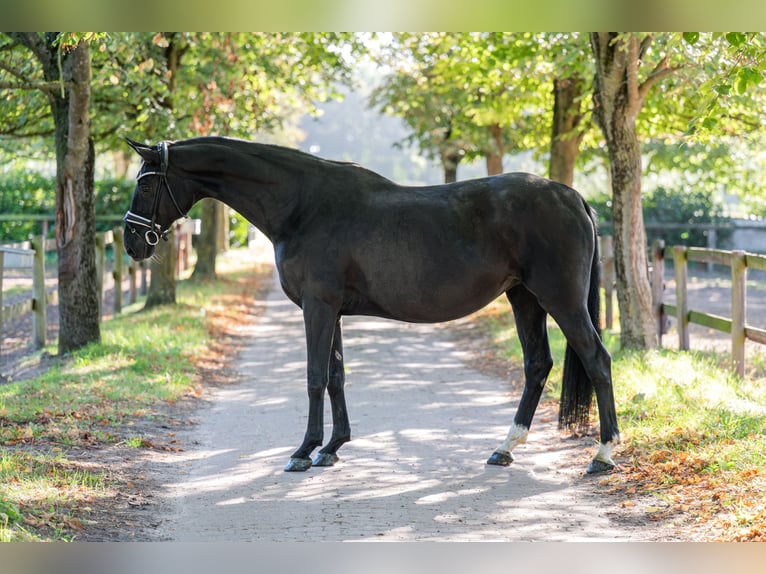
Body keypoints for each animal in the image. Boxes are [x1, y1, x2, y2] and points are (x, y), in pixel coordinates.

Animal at [122, 136, 619, 475]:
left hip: (561, 299)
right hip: (524, 298)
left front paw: (302, 452)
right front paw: (331, 448)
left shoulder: (317, 307)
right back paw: (505, 448)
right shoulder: (331, 310)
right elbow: (336, 377)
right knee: (537, 365)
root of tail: (571, 195)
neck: (302, 206)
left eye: (146, 185)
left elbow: (314, 377)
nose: (132, 243)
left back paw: (603, 453)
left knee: (596, 360)